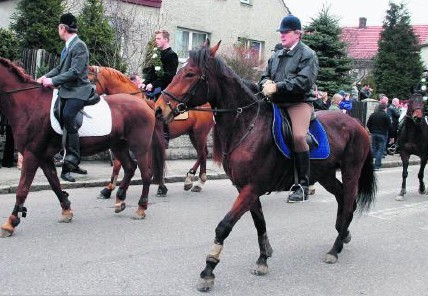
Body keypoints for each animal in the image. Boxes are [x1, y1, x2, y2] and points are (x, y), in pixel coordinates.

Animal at [0, 57, 166, 238]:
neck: (30, 103)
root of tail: (144, 102)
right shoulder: (43, 157)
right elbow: (54, 183)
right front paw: (66, 210)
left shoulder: (32, 154)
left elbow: (22, 189)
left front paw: (10, 223)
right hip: (119, 145)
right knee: (129, 167)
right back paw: (119, 200)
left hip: (140, 147)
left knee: (146, 174)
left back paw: (141, 208)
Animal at [88, 66, 214, 198]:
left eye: (90, 80)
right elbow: (119, 163)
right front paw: (108, 189)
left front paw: (160, 187)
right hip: (193, 134)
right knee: (203, 153)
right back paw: (198, 181)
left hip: (199, 133)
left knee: (202, 154)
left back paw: (193, 180)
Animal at [155, 40, 376, 292]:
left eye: (190, 73)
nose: (159, 109)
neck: (247, 125)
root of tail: (357, 124)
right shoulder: (245, 188)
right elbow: (259, 223)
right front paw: (263, 258)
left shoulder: (251, 188)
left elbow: (224, 226)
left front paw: (209, 270)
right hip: (326, 175)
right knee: (342, 199)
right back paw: (343, 233)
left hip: (351, 172)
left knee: (348, 203)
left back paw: (335, 248)